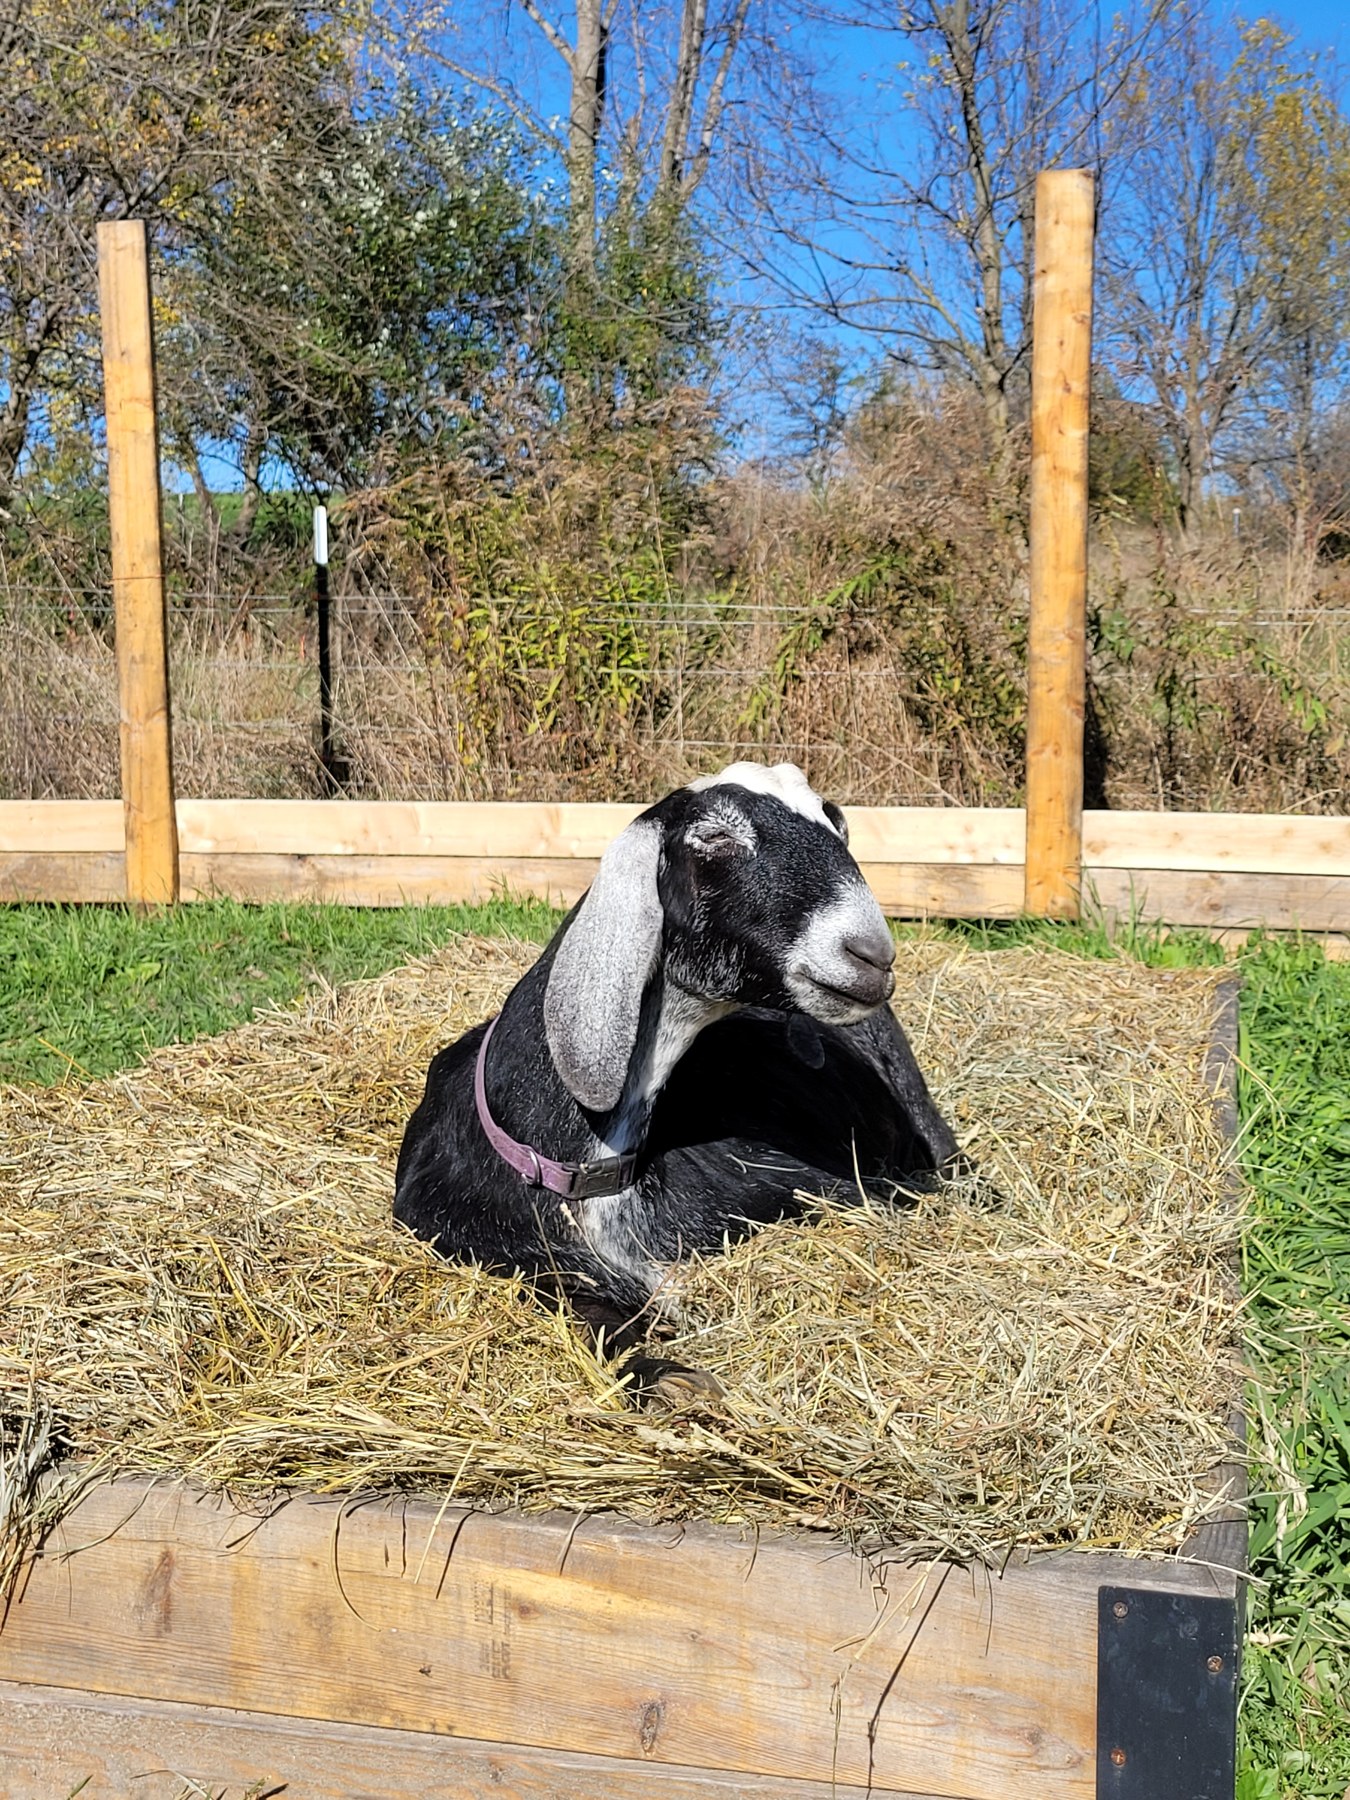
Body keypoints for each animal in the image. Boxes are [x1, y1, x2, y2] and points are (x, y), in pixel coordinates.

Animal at [395, 763, 959, 1401]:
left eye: (835, 821)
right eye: (714, 837)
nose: (871, 953)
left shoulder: (838, 1188)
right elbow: (584, 1310)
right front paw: (670, 1376)